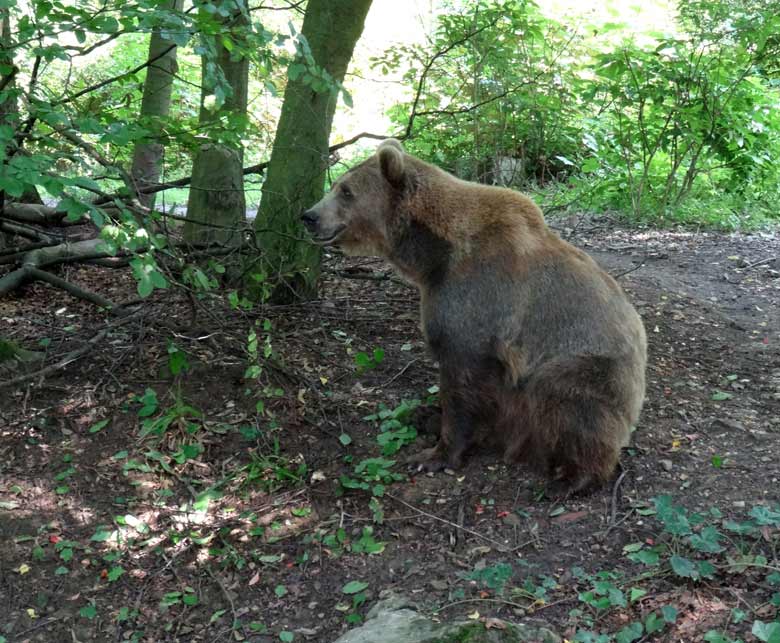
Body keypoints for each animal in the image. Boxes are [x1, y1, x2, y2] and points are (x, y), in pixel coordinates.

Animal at [302, 140, 648, 494]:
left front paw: (435, 454)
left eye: (346, 191)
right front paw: (433, 420)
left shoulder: (475, 298)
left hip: (591, 369)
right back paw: (423, 415)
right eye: (336, 185)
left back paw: (572, 478)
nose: (309, 216)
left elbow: (462, 378)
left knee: (567, 400)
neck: (433, 257)